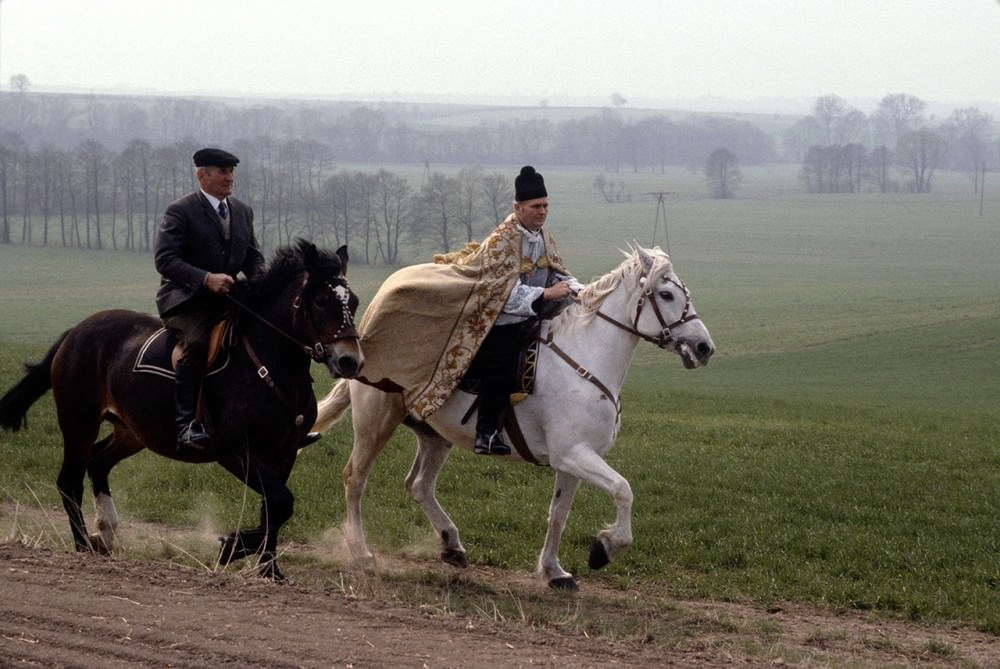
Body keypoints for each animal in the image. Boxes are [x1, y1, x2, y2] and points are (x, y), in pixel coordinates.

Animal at [0, 240, 366, 580]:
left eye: (354, 302)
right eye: (321, 301)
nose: (351, 361)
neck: (271, 365)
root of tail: (75, 332)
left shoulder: (284, 453)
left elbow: (274, 508)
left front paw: (269, 571)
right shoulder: (234, 451)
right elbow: (280, 503)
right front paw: (232, 548)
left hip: (132, 431)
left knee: (98, 461)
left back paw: (104, 532)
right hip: (79, 421)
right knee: (70, 481)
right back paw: (82, 547)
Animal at [316, 243, 716, 588]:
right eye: (666, 295)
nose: (704, 348)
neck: (584, 358)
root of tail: (361, 348)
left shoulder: (572, 461)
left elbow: (558, 515)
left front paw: (555, 572)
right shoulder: (574, 453)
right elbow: (623, 490)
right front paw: (604, 549)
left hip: (434, 436)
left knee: (419, 484)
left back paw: (452, 545)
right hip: (375, 422)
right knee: (355, 479)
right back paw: (363, 554)